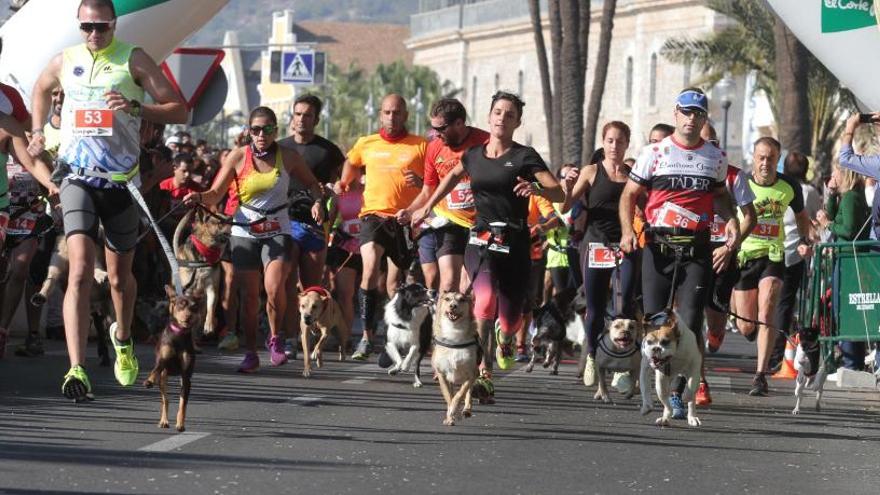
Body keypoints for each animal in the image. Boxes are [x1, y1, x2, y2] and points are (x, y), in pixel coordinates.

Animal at [144, 286, 204, 434]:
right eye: (180, 305)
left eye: (194, 307)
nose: (188, 316)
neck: (179, 335)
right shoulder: (162, 360)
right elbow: (155, 369)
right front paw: (149, 381)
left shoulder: (186, 376)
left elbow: (183, 404)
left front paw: (180, 424)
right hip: (164, 378)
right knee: (165, 400)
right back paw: (163, 421)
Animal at [430, 292, 478, 428]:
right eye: (447, 299)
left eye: (462, 300)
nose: (453, 306)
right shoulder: (442, 375)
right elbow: (448, 396)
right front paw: (450, 417)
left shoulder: (472, 374)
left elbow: (460, 394)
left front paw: (454, 410)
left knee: (468, 393)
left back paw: (466, 410)